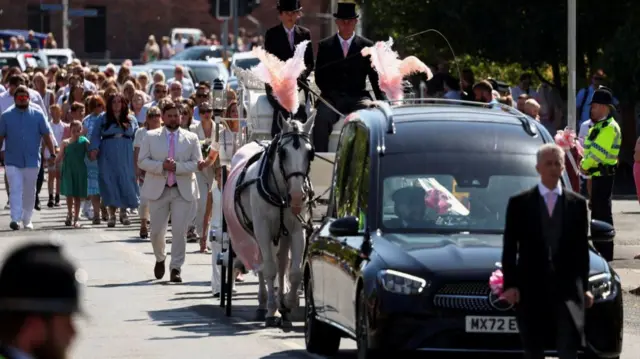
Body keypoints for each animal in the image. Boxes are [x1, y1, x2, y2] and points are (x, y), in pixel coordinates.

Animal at [225, 116, 316, 328]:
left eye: (310, 153)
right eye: (283, 153)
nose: (297, 195)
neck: (281, 194)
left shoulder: (298, 230)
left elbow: (295, 271)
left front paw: (288, 303)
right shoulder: (262, 229)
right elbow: (268, 269)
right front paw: (272, 311)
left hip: (282, 235)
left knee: (282, 263)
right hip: (254, 232)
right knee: (262, 264)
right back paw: (262, 304)